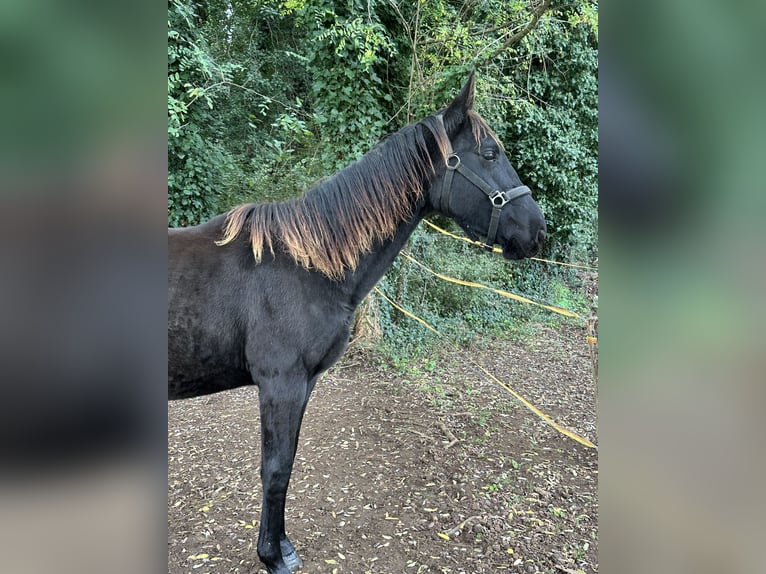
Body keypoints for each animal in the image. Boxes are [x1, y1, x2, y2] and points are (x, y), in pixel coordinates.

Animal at [171, 74, 548, 572]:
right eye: (489, 153)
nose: (537, 231)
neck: (305, 264)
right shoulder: (280, 385)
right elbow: (275, 470)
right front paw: (272, 556)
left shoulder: (302, 385)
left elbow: (287, 464)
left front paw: (282, 545)